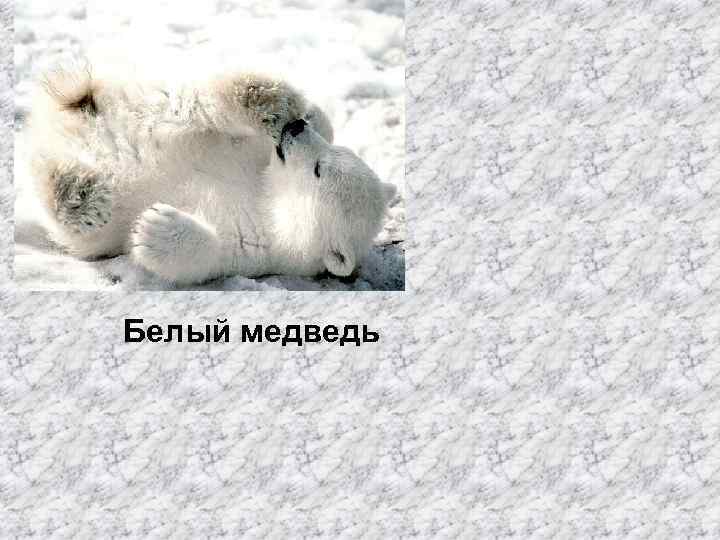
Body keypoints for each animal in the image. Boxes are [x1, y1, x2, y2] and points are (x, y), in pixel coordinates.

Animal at [25, 57, 397, 285]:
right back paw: (267, 100)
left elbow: (208, 256)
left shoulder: (262, 248)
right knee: (195, 106)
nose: (295, 129)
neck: (267, 196)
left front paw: (154, 227)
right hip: (156, 108)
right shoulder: (254, 155)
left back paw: (79, 196)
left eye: (319, 169)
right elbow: (317, 125)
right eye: (335, 154)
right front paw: (306, 114)